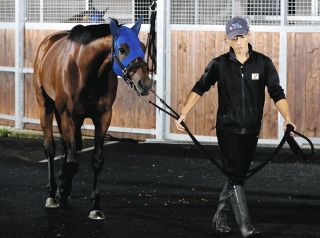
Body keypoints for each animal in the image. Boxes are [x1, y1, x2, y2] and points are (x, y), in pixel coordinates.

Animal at [33, 18, 153, 219]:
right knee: (50, 148)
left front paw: (95, 206)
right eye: (122, 49)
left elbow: (95, 160)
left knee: (69, 150)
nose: (144, 84)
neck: (86, 72)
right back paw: (52, 194)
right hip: (46, 106)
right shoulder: (68, 115)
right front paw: (61, 190)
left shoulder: (103, 117)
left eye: (143, 47)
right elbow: (72, 162)